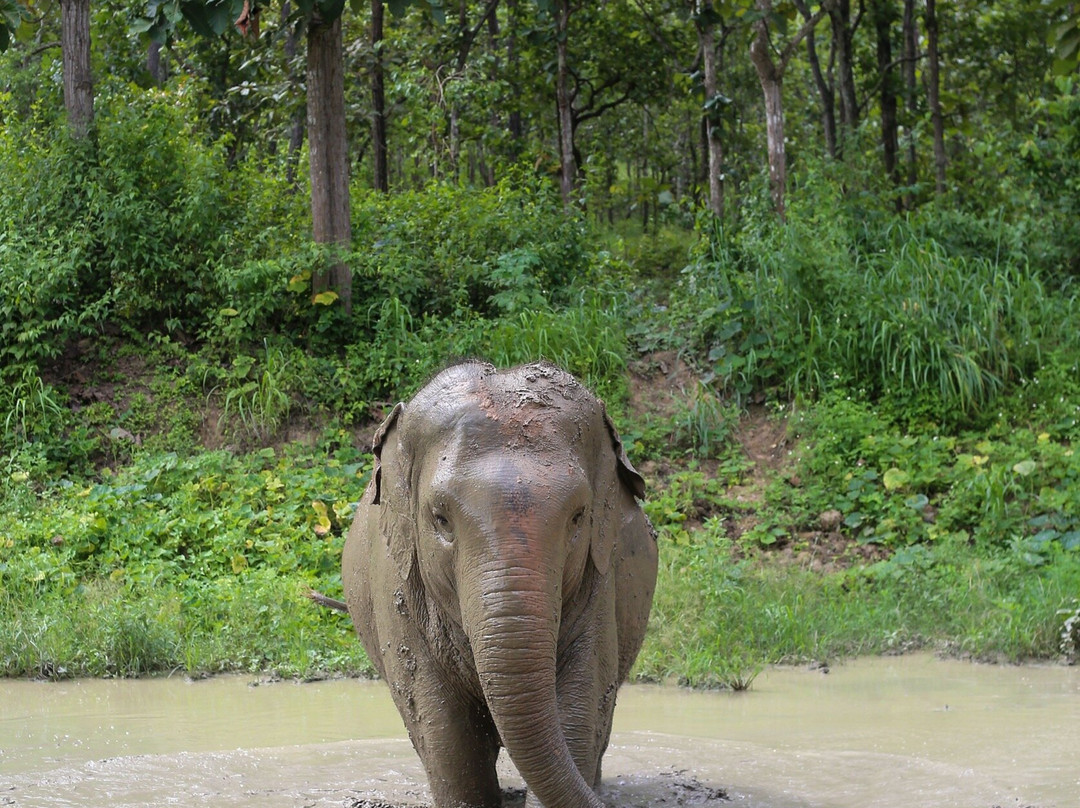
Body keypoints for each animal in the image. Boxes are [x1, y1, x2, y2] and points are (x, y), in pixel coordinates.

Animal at [342, 360, 658, 808]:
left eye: (579, 517)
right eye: (440, 518)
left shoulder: (600, 577)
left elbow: (582, 701)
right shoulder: (395, 582)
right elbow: (443, 727)